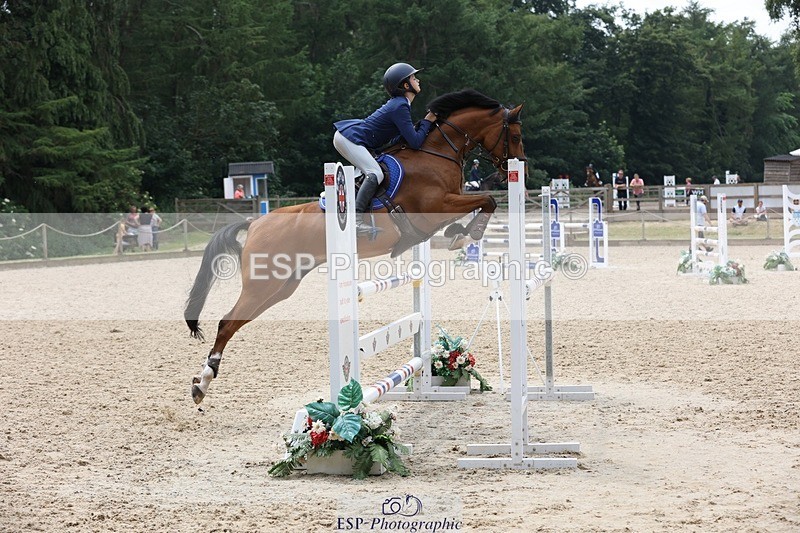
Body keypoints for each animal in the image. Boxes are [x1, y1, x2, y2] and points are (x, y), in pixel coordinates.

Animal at [184, 89, 527, 404]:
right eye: (515, 134)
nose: (518, 166)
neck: (437, 152)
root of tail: (255, 223)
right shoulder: (437, 206)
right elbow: (487, 199)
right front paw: (467, 233)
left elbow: (480, 202)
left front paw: (461, 232)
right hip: (262, 284)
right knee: (226, 322)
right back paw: (203, 383)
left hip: (281, 286)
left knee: (235, 322)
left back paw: (202, 382)